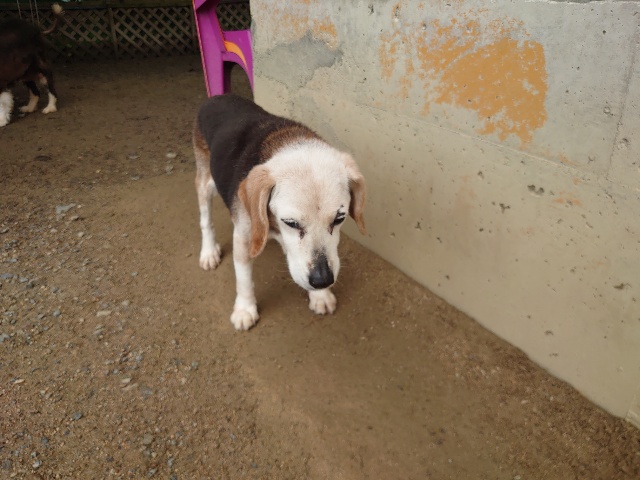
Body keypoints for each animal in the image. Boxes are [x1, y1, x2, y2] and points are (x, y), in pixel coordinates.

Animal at [193, 94, 367, 330]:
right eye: (291, 222)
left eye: (339, 218)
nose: (322, 281)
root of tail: (217, 97)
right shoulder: (244, 237)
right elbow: (244, 279)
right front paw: (245, 309)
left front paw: (320, 296)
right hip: (206, 183)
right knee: (205, 220)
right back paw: (209, 252)